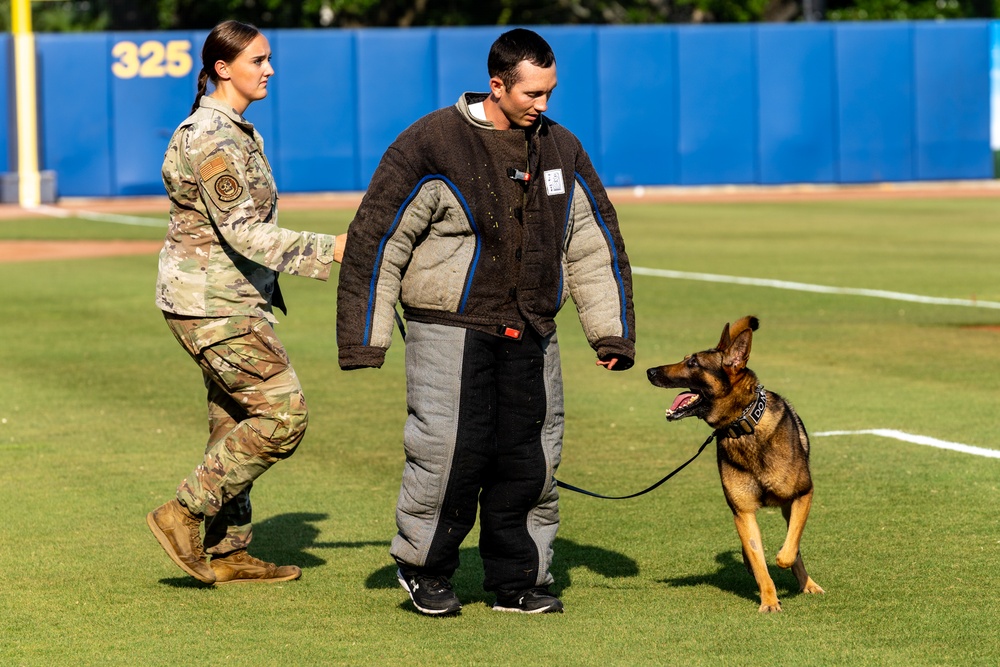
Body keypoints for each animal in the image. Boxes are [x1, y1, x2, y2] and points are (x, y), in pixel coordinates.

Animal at [644, 316, 824, 612]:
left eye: (693, 363)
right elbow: (759, 561)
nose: (649, 371)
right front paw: (769, 600)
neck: (743, 425)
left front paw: (782, 566)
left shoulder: (803, 493)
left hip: (791, 505)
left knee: (793, 544)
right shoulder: (743, 512)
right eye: (685, 359)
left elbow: (787, 552)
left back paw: (808, 584)